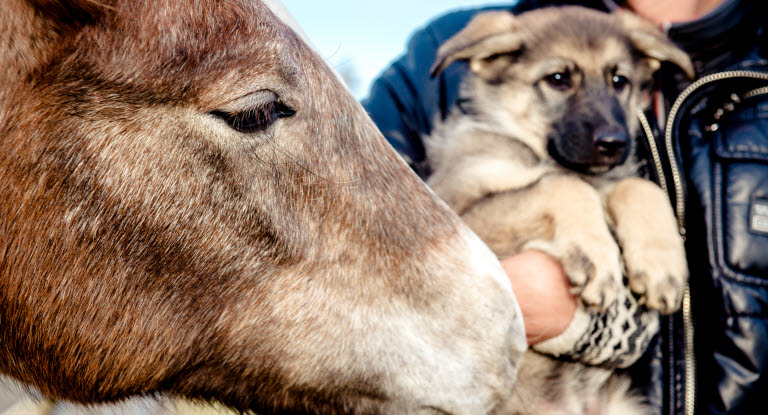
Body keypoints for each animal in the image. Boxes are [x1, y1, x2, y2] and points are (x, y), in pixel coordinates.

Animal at [428, 6, 692, 415]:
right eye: (558, 79)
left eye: (619, 80)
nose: (615, 143)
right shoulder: (458, 216)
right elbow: (561, 184)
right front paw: (597, 259)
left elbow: (638, 186)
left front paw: (661, 266)